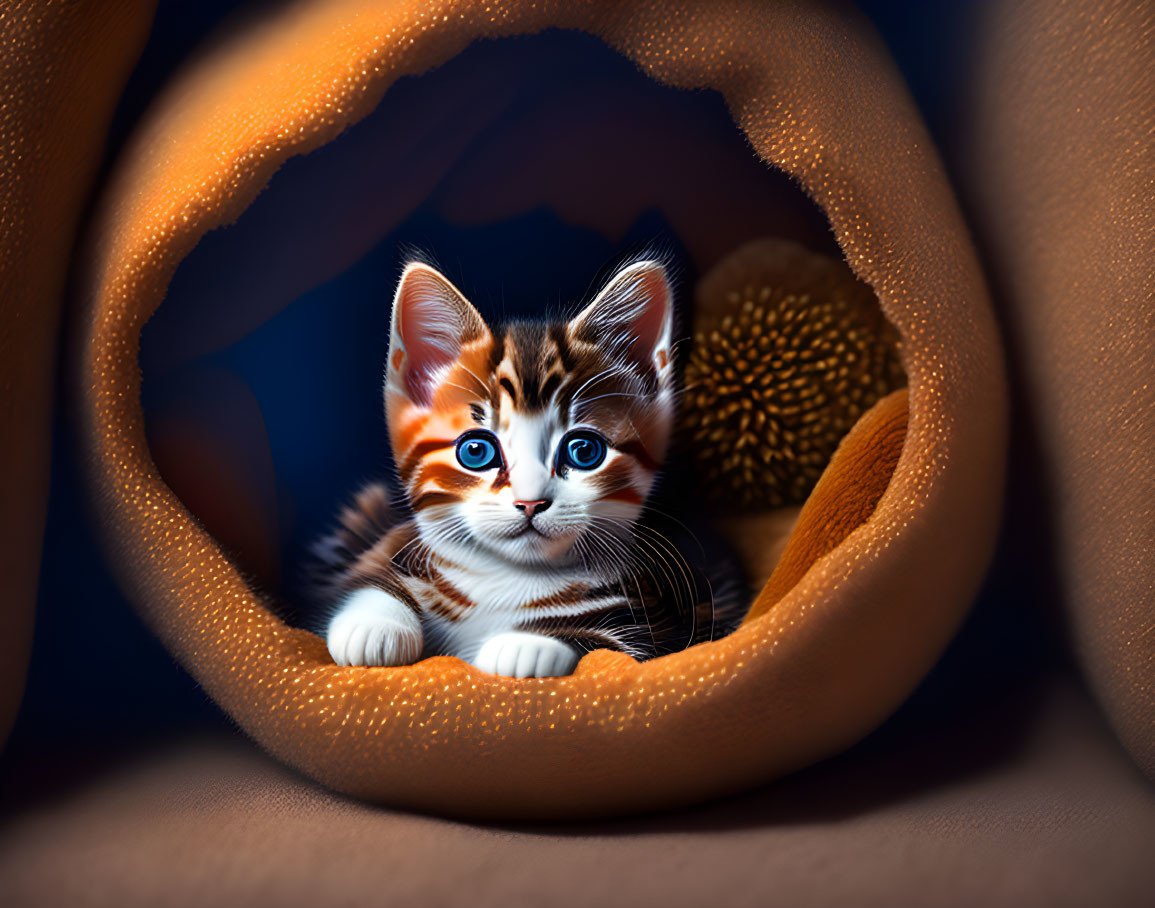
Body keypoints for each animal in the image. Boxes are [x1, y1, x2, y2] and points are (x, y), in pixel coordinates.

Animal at [311, 258, 743, 674]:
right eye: (476, 451)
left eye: (584, 451)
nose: (530, 502)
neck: (505, 578)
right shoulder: (387, 545)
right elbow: (366, 579)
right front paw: (373, 626)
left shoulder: (661, 617)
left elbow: (606, 643)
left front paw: (527, 645)